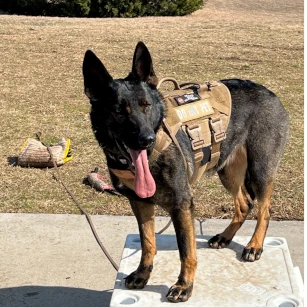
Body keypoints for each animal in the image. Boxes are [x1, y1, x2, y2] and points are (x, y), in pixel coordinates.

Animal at [82, 41, 288, 304]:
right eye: (118, 110)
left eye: (146, 106)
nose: (146, 140)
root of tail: (269, 92)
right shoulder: (140, 203)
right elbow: (148, 242)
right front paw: (143, 273)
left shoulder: (182, 204)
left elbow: (186, 250)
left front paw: (184, 286)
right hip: (228, 171)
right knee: (244, 204)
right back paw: (225, 236)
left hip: (259, 170)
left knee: (264, 209)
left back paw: (254, 245)